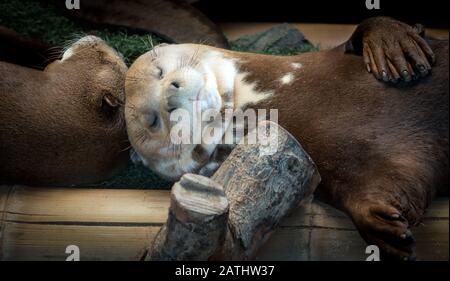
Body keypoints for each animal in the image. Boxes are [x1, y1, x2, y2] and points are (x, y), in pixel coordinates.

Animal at [125, 17, 448, 258]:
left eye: (159, 71)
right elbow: (383, 186)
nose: (170, 96)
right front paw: (387, 231)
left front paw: (394, 42)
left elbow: (364, 29)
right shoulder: (348, 168)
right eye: (152, 120)